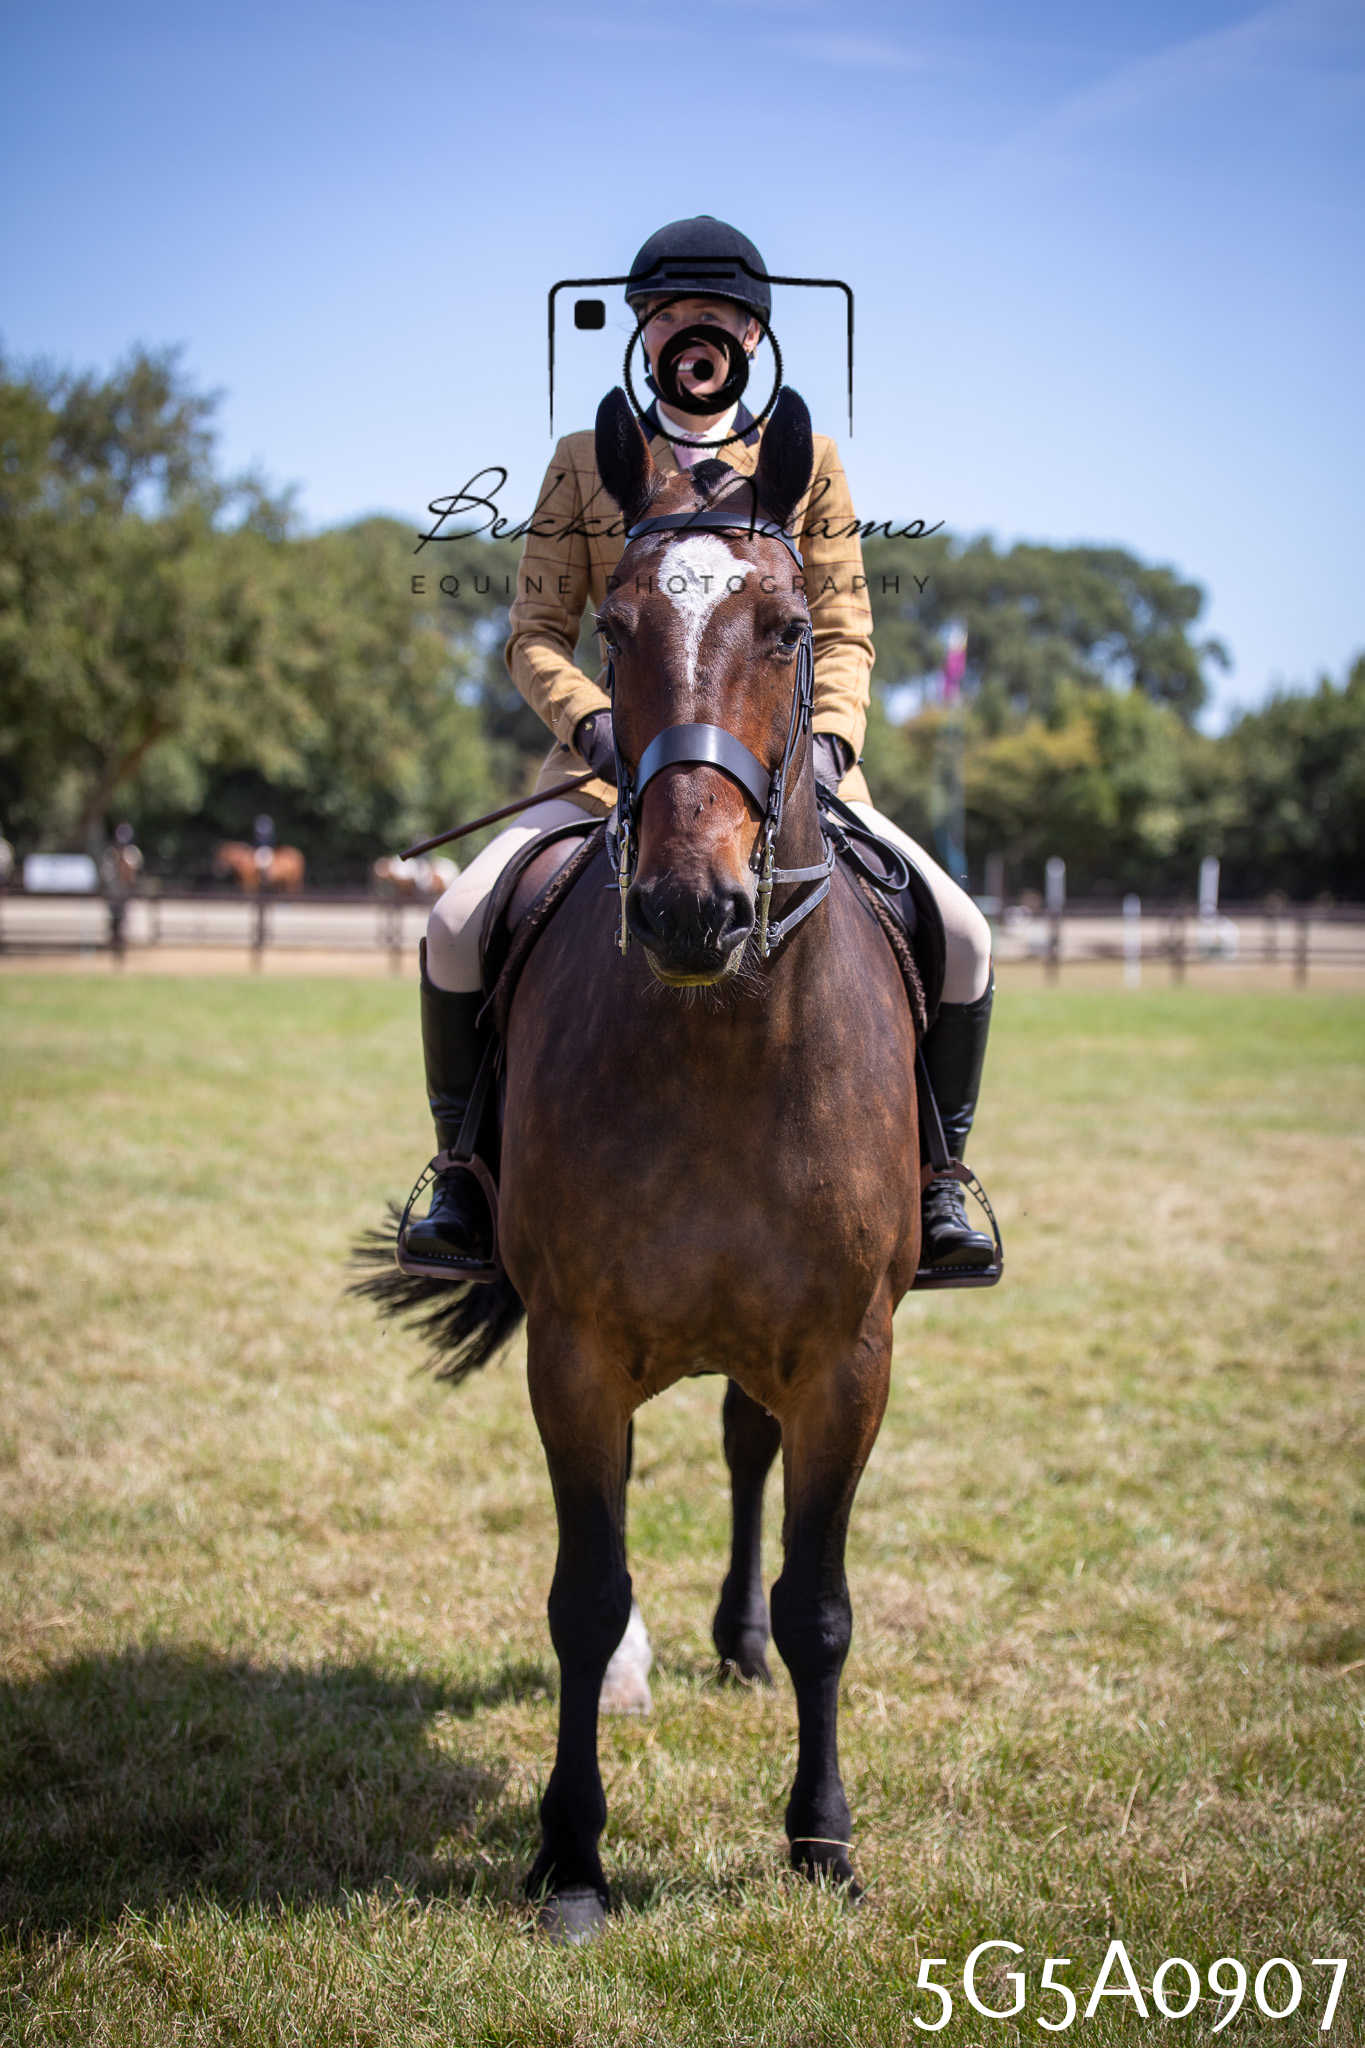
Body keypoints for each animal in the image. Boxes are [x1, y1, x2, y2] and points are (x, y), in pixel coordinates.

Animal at [357, 387, 920, 1942]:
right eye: (613, 631)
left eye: (788, 629)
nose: (686, 908)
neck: (717, 1034)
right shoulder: (578, 1347)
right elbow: (583, 1593)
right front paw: (570, 1859)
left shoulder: (848, 1352)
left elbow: (825, 1604)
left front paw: (823, 1843)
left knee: (744, 1450)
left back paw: (738, 1642)